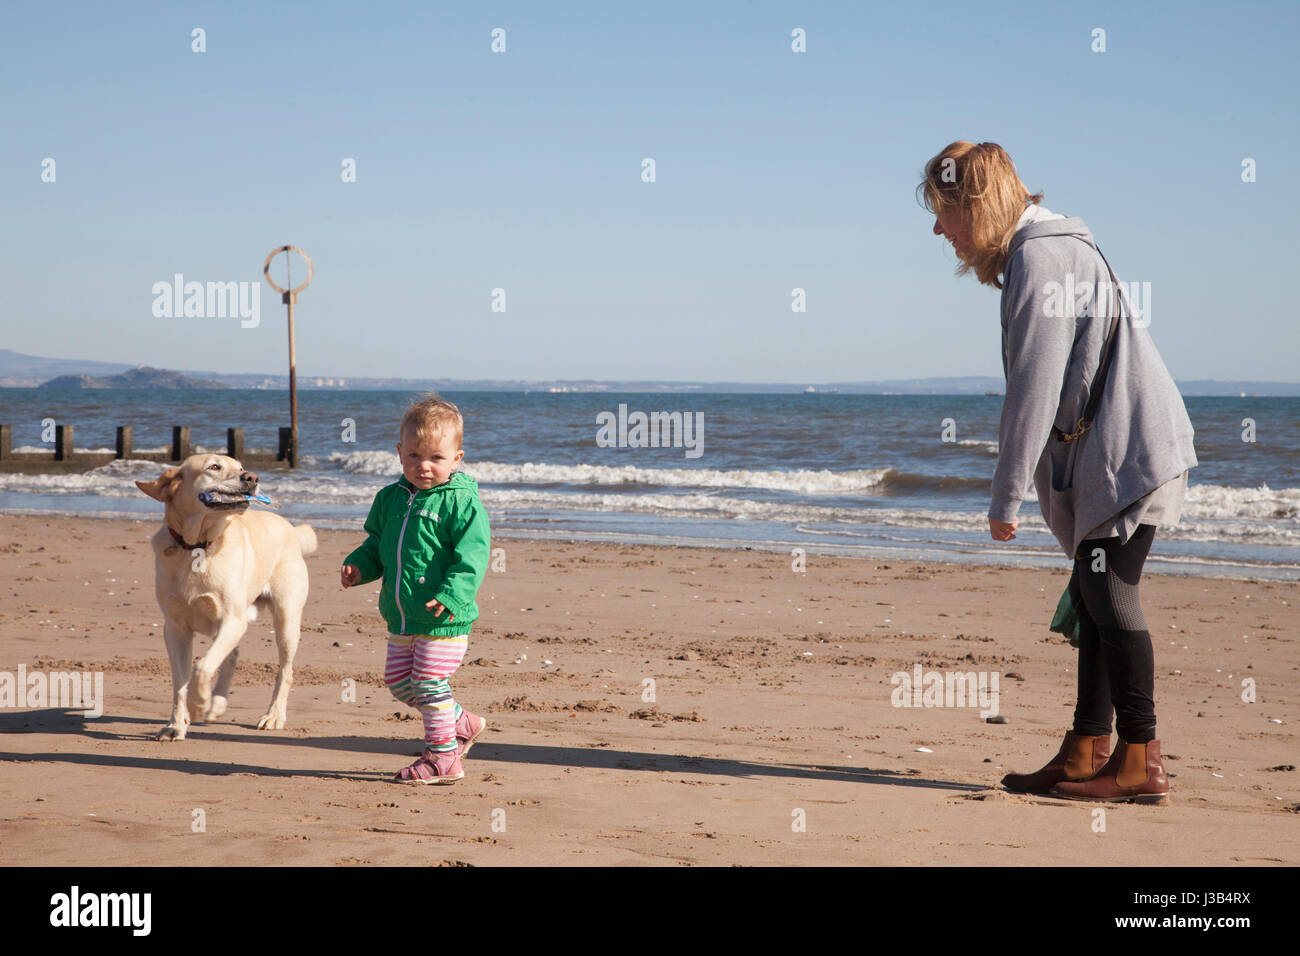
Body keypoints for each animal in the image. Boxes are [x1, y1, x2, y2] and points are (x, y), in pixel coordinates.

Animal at [136, 455, 317, 738]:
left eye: (241, 467)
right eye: (214, 467)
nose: (252, 477)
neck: (197, 546)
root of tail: (291, 529)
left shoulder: (232, 619)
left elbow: (201, 667)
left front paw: (197, 704)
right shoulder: (175, 628)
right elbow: (180, 681)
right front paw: (176, 724)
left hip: (285, 619)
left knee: (284, 670)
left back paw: (273, 716)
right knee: (232, 655)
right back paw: (217, 703)